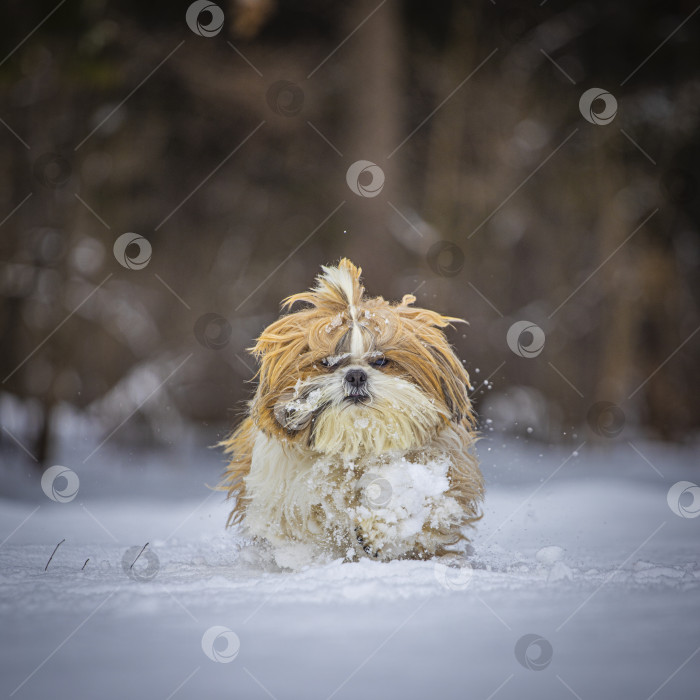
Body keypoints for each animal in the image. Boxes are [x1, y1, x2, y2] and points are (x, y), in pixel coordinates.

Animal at [221, 260, 484, 568]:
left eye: (381, 361)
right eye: (327, 362)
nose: (356, 375)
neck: (356, 441)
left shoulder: (442, 469)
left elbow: (420, 499)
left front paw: (376, 530)